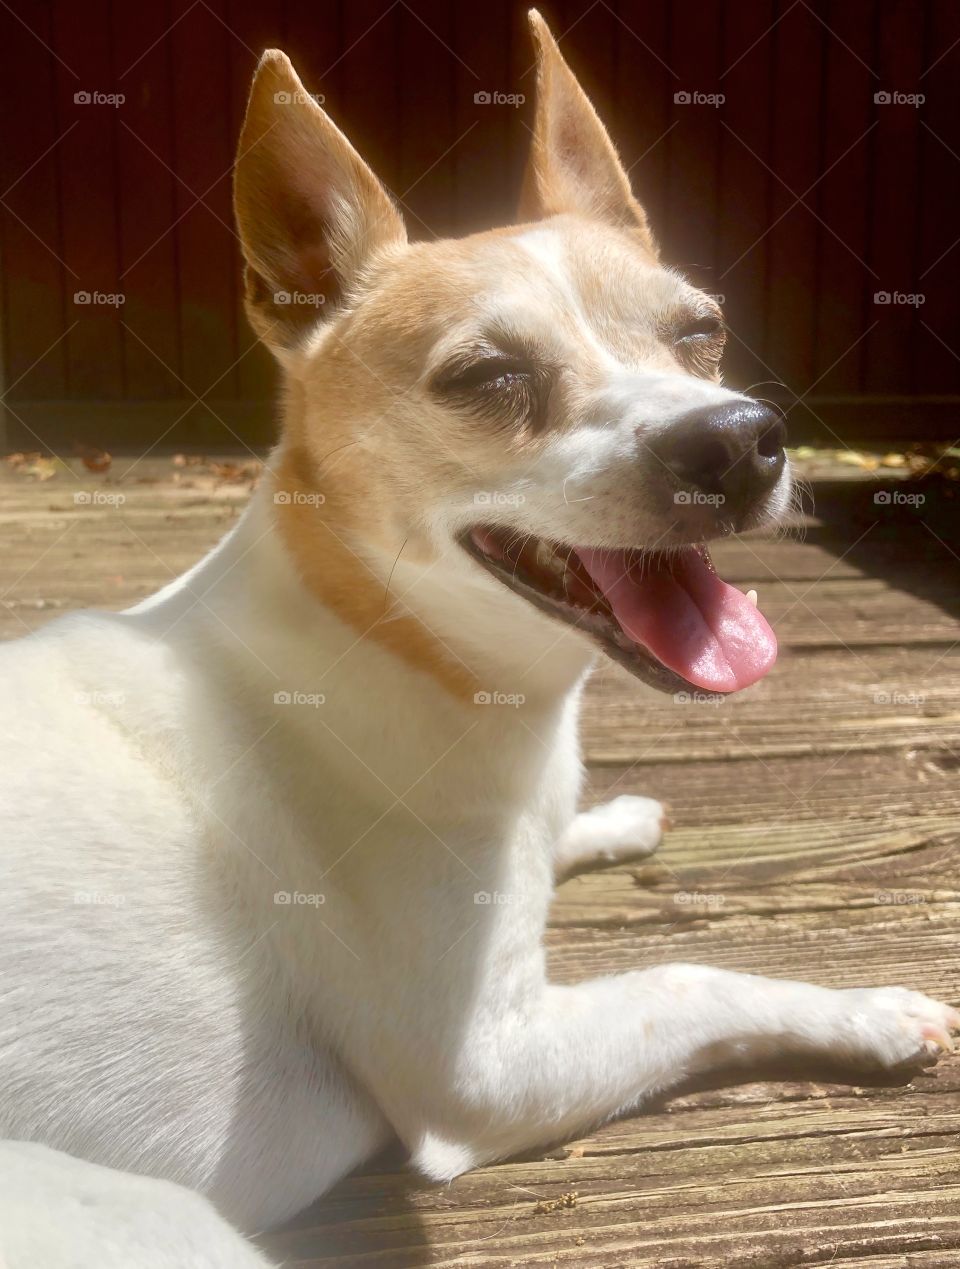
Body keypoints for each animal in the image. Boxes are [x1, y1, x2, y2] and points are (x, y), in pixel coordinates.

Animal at [1, 12, 958, 1269]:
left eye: (703, 333)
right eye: (490, 377)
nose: (740, 437)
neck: (416, 653)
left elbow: (559, 847)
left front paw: (606, 818)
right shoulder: (493, 1070)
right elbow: (690, 978)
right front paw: (867, 1012)